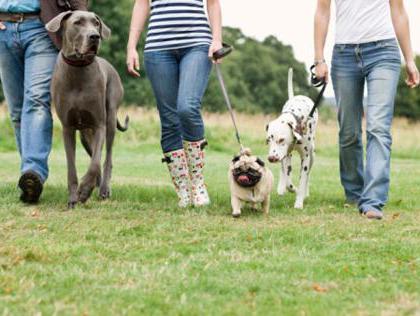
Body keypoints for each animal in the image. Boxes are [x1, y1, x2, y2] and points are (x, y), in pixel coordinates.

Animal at [46, 10, 128, 207]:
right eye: (78, 22)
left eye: (96, 23)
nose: (95, 36)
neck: (78, 70)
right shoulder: (68, 128)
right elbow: (72, 167)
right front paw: (73, 197)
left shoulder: (99, 125)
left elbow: (95, 163)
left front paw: (84, 190)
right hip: (84, 134)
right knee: (94, 154)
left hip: (110, 118)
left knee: (106, 158)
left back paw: (103, 189)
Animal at [266, 68, 318, 209]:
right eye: (268, 140)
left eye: (281, 140)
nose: (271, 158)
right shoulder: (286, 155)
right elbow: (288, 180)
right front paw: (291, 188)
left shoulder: (305, 157)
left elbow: (303, 179)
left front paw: (299, 201)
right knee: (283, 171)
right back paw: (281, 188)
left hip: (312, 155)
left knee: (308, 175)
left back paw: (306, 193)